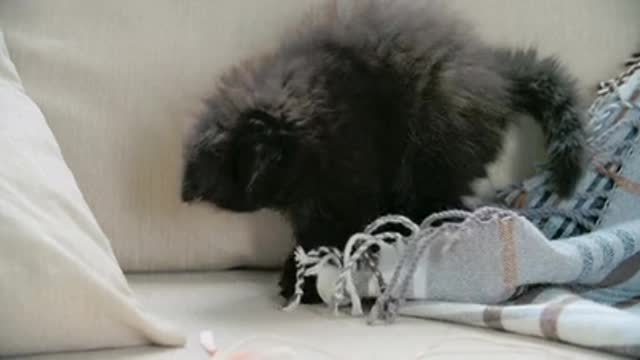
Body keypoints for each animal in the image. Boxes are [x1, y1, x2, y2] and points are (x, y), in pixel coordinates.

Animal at [179, 0, 584, 304]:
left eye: (266, 172)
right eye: (264, 191)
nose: (282, 199)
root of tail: (497, 71)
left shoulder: (349, 182)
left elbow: (328, 234)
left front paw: (303, 280)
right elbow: (315, 232)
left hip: (433, 148)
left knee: (435, 203)